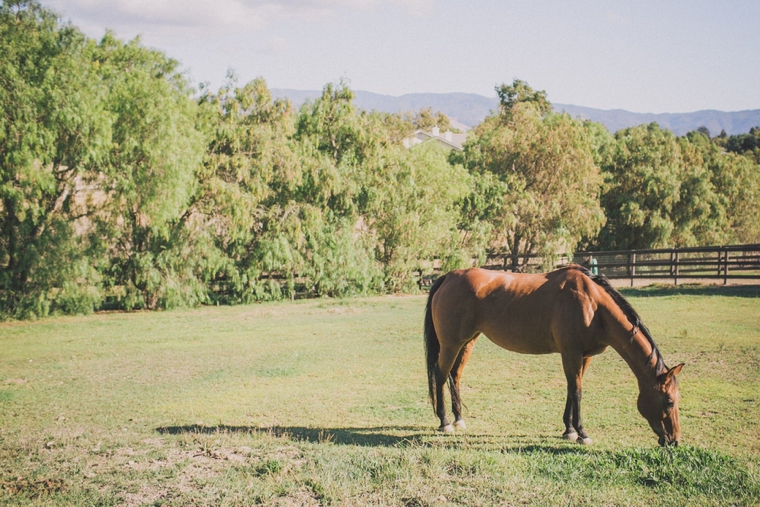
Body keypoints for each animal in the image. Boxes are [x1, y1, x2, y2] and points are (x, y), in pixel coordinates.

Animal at [424, 264, 684, 446]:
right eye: (669, 401)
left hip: (467, 342)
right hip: (451, 344)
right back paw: (444, 422)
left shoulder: (584, 356)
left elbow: (572, 388)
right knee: (441, 375)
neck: (593, 305)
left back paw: (458, 419)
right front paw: (582, 433)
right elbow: (577, 391)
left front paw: (569, 430)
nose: (674, 441)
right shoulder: (571, 353)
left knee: (455, 376)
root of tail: (449, 276)